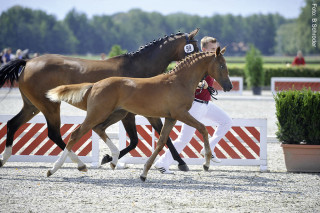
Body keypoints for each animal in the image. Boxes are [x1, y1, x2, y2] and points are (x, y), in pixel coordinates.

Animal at [0, 28, 200, 171]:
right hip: (49, 106)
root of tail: (27, 62)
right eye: (195, 47)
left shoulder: (147, 112)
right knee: (54, 133)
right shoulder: (131, 114)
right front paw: (108, 158)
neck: (138, 68)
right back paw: (79, 164)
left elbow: (160, 136)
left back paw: (4, 159)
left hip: (32, 106)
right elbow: (139, 140)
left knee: (13, 124)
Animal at [46, 45, 231, 181]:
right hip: (98, 114)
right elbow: (203, 129)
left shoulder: (170, 117)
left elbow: (162, 142)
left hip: (117, 114)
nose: (229, 86)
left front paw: (144, 173)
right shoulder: (181, 114)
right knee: (75, 134)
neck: (179, 81)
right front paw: (206, 163)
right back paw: (56, 169)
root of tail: (94, 85)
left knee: (99, 129)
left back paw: (113, 159)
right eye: (222, 65)